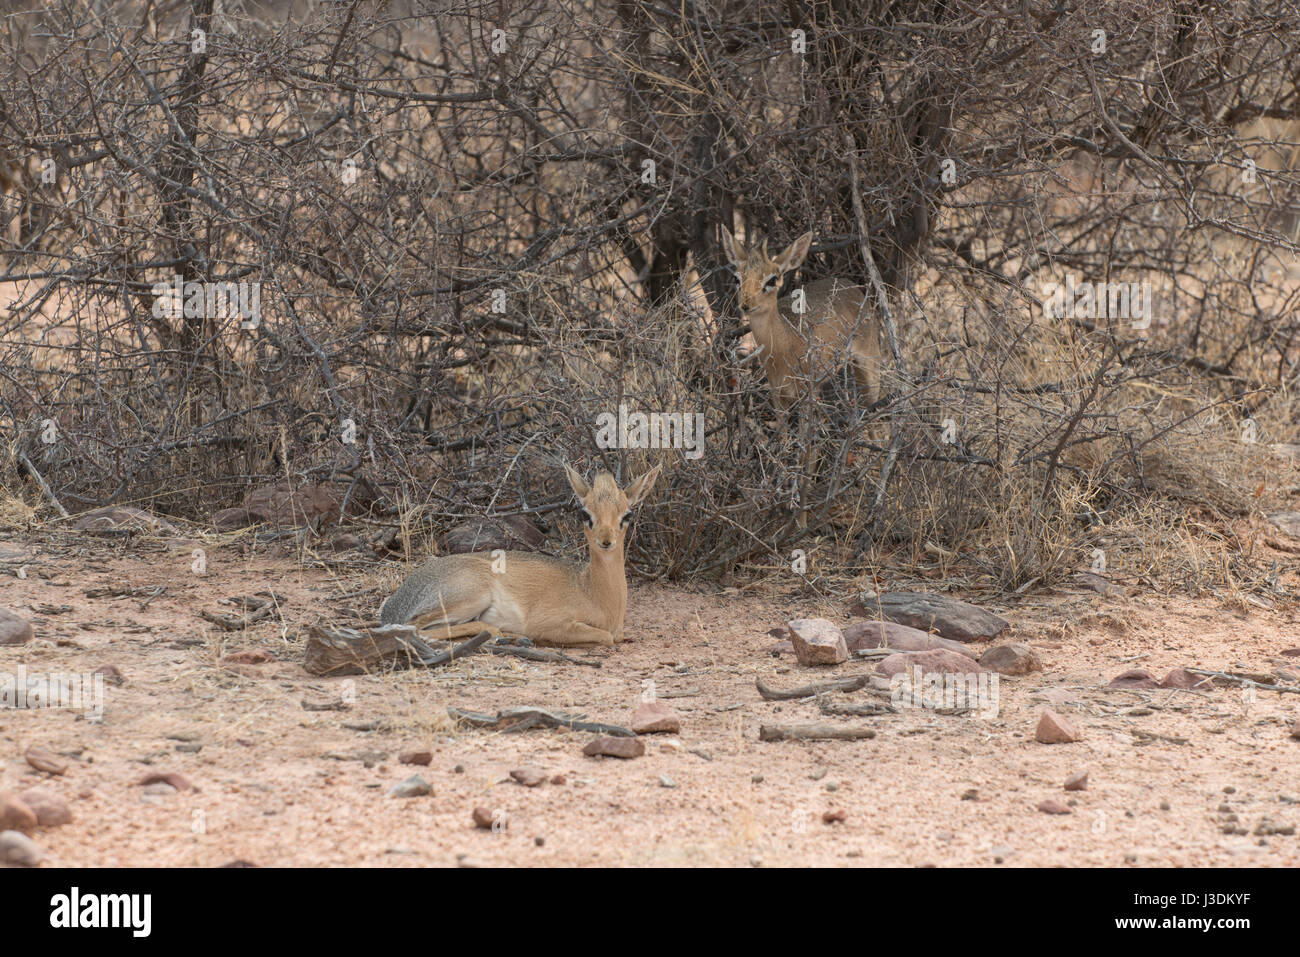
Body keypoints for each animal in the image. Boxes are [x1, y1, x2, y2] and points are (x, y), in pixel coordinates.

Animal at [377, 462, 660, 647]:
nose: (606, 541)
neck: (594, 592)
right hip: (471, 597)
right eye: (585, 514)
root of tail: (394, 605)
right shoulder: (550, 623)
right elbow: (606, 637)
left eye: (627, 515)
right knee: (415, 627)